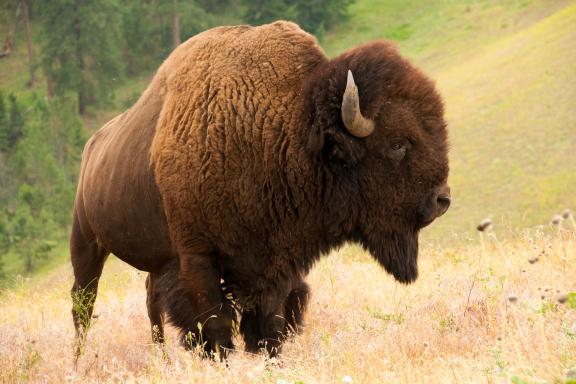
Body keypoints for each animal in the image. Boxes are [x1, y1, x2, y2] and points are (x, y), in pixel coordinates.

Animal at [70, 21, 450, 360]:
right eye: (397, 143)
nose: (441, 200)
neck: (281, 129)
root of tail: (91, 146)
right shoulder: (197, 258)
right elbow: (216, 324)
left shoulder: (275, 263)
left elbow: (270, 323)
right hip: (87, 242)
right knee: (83, 304)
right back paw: (79, 359)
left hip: (153, 257)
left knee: (151, 300)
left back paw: (160, 357)